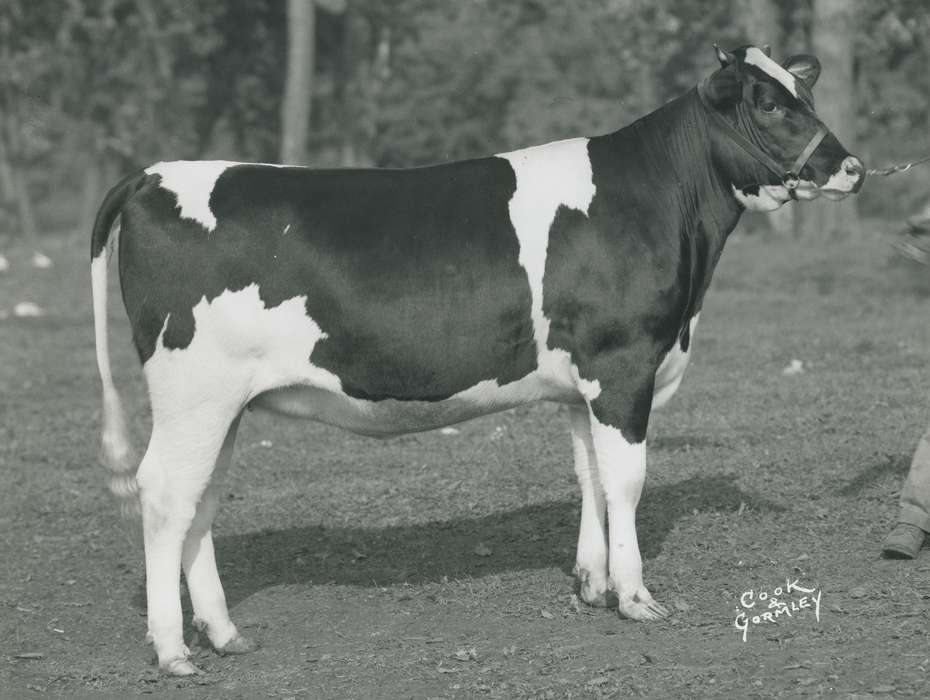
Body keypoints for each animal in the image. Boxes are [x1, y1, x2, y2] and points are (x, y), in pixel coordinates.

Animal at [91, 46, 864, 675]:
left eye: (805, 91)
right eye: (769, 103)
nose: (850, 167)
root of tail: (153, 174)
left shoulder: (581, 383)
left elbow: (588, 476)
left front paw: (592, 584)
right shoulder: (623, 368)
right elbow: (626, 482)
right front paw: (636, 597)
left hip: (223, 403)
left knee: (202, 499)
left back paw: (224, 634)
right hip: (193, 390)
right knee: (167, 494)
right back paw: (174, 650)